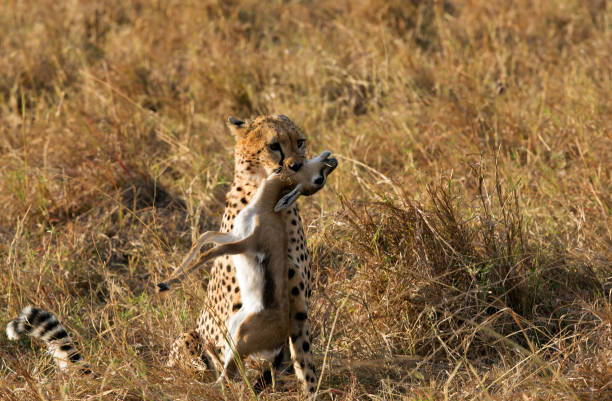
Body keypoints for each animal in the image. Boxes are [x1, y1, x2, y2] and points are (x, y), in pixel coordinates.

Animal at [165, 113, 322, 394]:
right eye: (274, 145)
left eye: (300, 142)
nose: (297, 166)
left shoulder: (297, 299)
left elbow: (303, 355)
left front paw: (313, 392)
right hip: (190, 337)